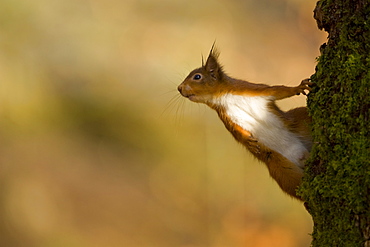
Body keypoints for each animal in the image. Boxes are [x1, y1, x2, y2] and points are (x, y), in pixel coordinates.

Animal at [178, 46, 310, 201]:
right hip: (280, 169)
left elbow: (278, 90)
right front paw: (249, 141)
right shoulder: (228, 117)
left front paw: (298, 87)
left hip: (301, 121)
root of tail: (302, 156)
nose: (179, 88)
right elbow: (237, 133)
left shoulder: (253, 89)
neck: (225, 97)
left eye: (197, 77)